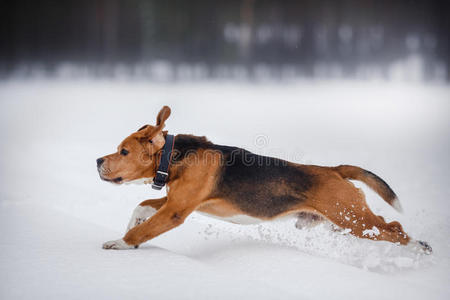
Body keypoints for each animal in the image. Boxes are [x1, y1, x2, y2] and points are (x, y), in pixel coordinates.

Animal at [96, 105, 430, 253]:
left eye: (123, 151)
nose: (98, 161)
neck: (173, 157)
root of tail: (335, 169)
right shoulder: (172, 201)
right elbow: (142, 206)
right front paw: (131, 225)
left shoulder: (175, 211)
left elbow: (145, 229)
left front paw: (121, 242)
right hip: (346, 221)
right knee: (387, 226)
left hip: (353, 219)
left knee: (394, 228)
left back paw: (419, 247)